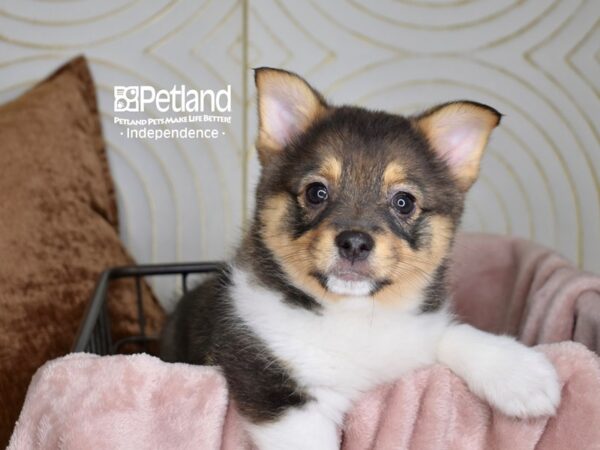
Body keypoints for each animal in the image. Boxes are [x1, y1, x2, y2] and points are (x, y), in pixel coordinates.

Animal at [161, 67, 564, 450]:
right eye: (316, 192)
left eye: (404, 201)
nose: (354, 243)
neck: (353, 316)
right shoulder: (270, 382)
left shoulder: (413, 340)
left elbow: (449, 333)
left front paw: (520, 372)